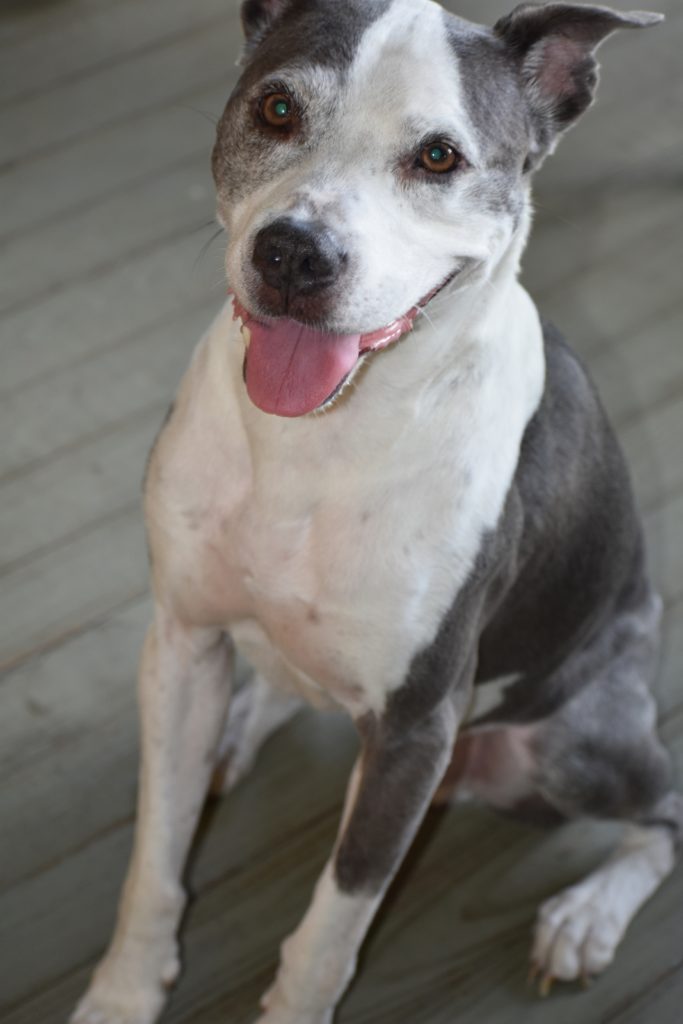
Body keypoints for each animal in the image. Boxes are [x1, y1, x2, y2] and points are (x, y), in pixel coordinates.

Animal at [72, 2, 679, 1024]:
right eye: (276, 108)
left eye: (437, 157)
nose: (292, 253)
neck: (314, 443)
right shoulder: (181, 646)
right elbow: (154, 856)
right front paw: (122, 993)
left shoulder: (413, 730)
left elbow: (331, 928)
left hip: (576, 741)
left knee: (664, 815)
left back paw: (584, 917)